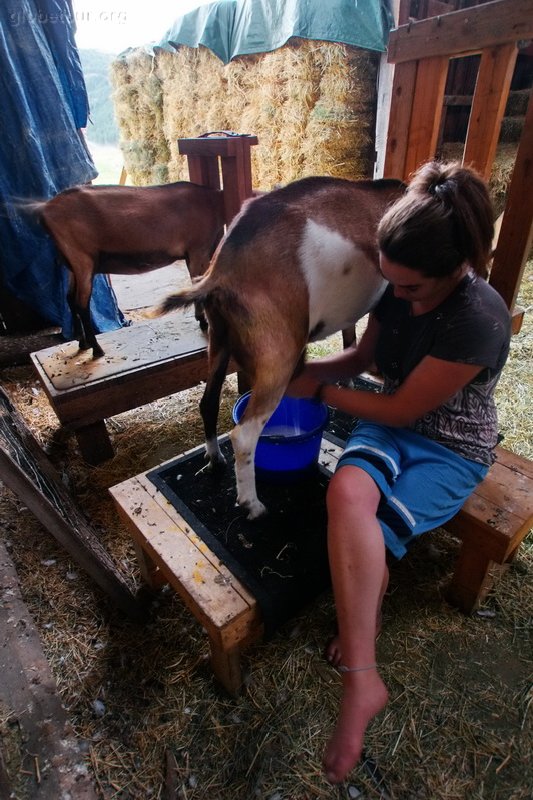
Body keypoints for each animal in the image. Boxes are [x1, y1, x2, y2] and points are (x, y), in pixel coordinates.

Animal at [33, 183, 224, 358]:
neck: (213, 201)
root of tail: (45, 210)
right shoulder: (198, 249)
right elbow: (197, 284)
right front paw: (203, 321)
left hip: (72, 265)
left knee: (70, 298)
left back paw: (82, 342)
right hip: (82, 259)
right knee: (81, 304)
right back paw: (96, 349)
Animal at [160, 175, 406, 520]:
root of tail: (222, 270)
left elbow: (350, 340)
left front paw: (347, 381)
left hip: (219, 341)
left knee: (208, 403)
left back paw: (214, 460)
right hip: (277, 358)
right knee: (244, 434)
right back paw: (253, 505)